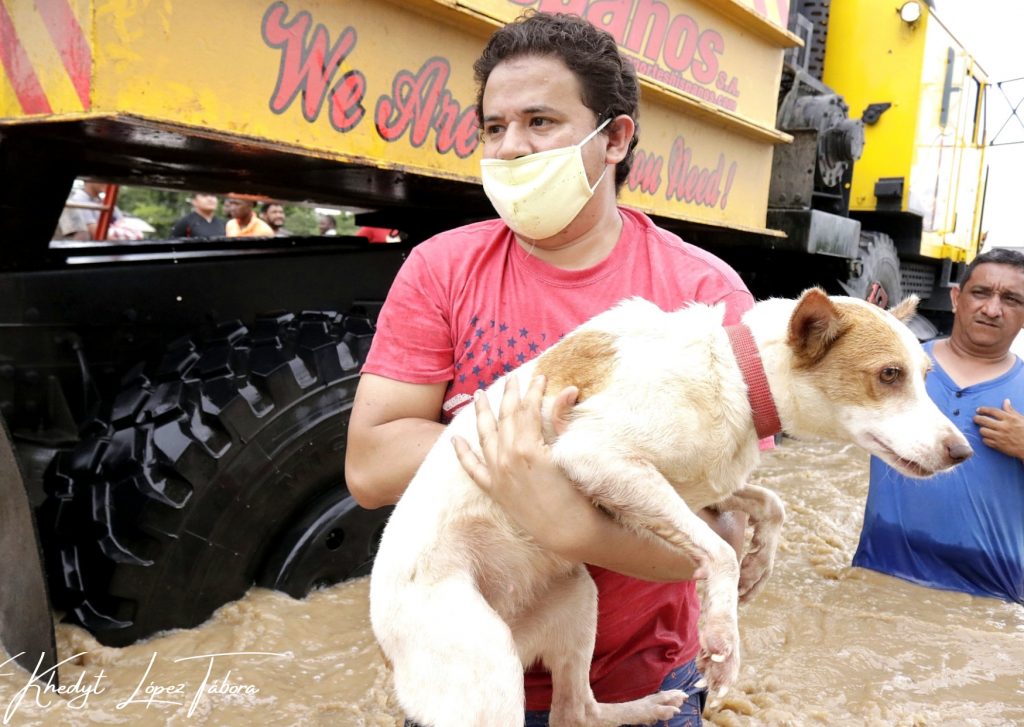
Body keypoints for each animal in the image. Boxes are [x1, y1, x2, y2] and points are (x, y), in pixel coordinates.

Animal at [366, 290, 966, 727]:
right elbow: (720, 553)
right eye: (889, 375)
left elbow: (770, 505)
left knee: (575, 711)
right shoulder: (598, 457)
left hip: (575, 600)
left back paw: (638, 708)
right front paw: (723, 637)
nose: (962, 452)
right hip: (482, 660)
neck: (733, 375)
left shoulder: (700, 485)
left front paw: (760, 563)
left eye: (925, 376)